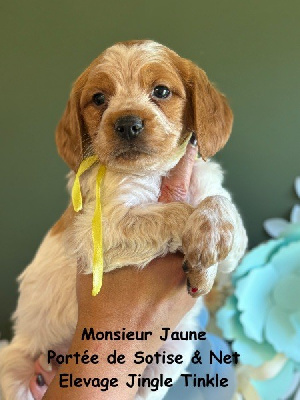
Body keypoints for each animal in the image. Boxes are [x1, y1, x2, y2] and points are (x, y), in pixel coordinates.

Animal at [0, 38, 247, 400]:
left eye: (161, 91)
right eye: (99, 98)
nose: (128, 123)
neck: (156, 173)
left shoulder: (221, 213)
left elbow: (220, 209)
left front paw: (207, 249)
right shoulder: (101, 229)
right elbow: (177, 211)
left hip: (169, 357)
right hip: (12, 365)